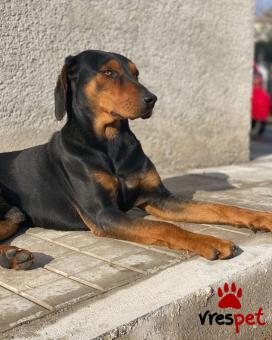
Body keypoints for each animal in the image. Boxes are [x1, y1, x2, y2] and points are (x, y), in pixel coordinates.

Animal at [0, 49, 272, 270]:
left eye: (136, 73)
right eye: (108, 72)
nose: (152, 99)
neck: (111, 143)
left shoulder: (158, 198)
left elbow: (218, 207)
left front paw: (262, 217)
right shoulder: (103, 213)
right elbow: (164, 226)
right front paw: (208, 240)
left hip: (14, 216)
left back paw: (12, 256)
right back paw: (13, 256)